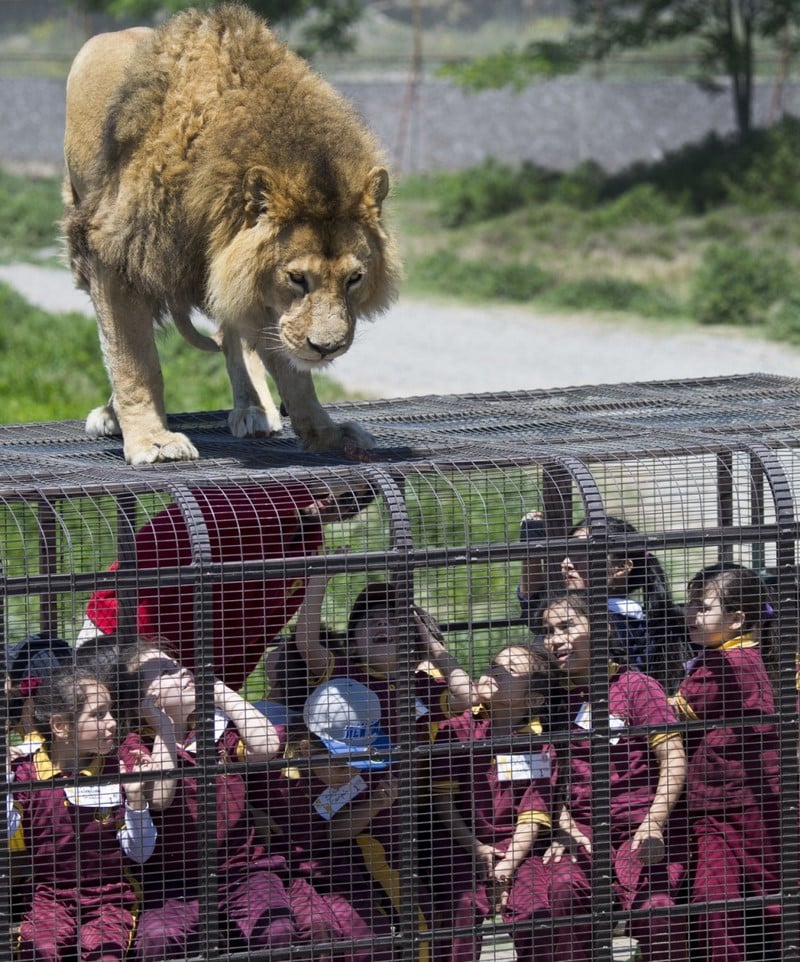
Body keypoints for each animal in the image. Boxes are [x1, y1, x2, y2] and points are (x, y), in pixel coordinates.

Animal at [62, 0, 400, 464]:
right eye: (297, 278)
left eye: (354, 279)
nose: (327, 348)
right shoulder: (114, 254)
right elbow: (133, 358)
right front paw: (153, 440)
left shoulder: (256, 284)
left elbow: (291, 370)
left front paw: (324, 432)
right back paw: (115, 415)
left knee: (235, 336)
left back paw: (254, 408)